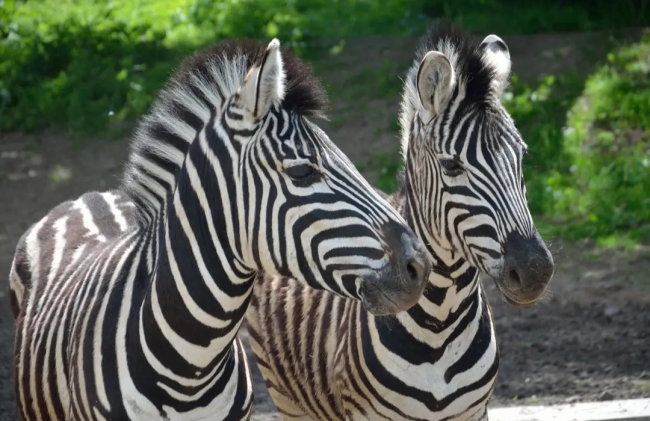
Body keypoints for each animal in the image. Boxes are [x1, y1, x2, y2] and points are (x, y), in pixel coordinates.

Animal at [246, 23, 556, 420]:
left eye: (522, 156)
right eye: (451, 165)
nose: (534, 270)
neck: (442, 325)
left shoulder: (475, 411)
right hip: (288, 399)